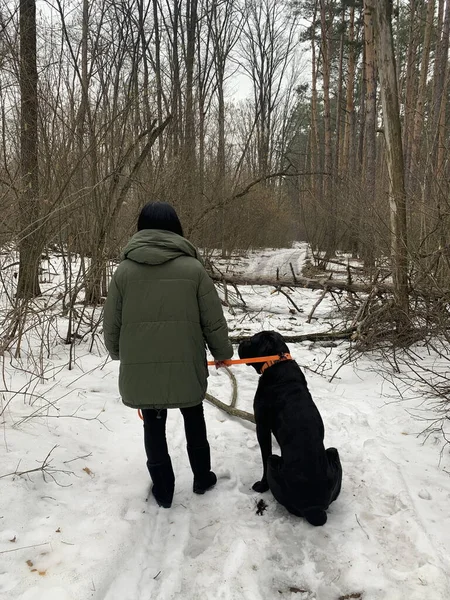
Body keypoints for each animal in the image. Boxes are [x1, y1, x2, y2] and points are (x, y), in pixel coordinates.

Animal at [239, 330, 342, 528]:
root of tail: (314, 509)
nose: (240, 342)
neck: (276, 361)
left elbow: (263, 455)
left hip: (273, 461)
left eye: (251, 340)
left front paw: (261, 486)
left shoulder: (262, 427)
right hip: (333, 452)